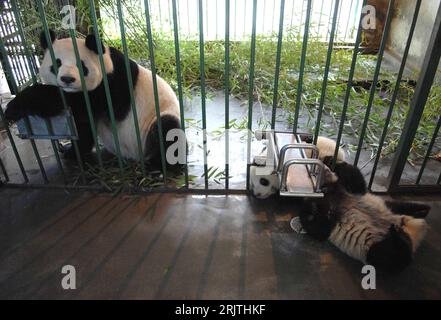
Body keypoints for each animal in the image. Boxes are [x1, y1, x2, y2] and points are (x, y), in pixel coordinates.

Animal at [4, 30, 180, 168]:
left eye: (81, 65)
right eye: (57, 63)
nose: (67, 79)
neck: (106, 62)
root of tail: (135, 156)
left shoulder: (115, 83)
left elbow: (78, 102)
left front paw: (14, 107)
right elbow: (83, 127)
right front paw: (70, 152)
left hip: (156, 119)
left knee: (168, 131)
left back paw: (158, 164)